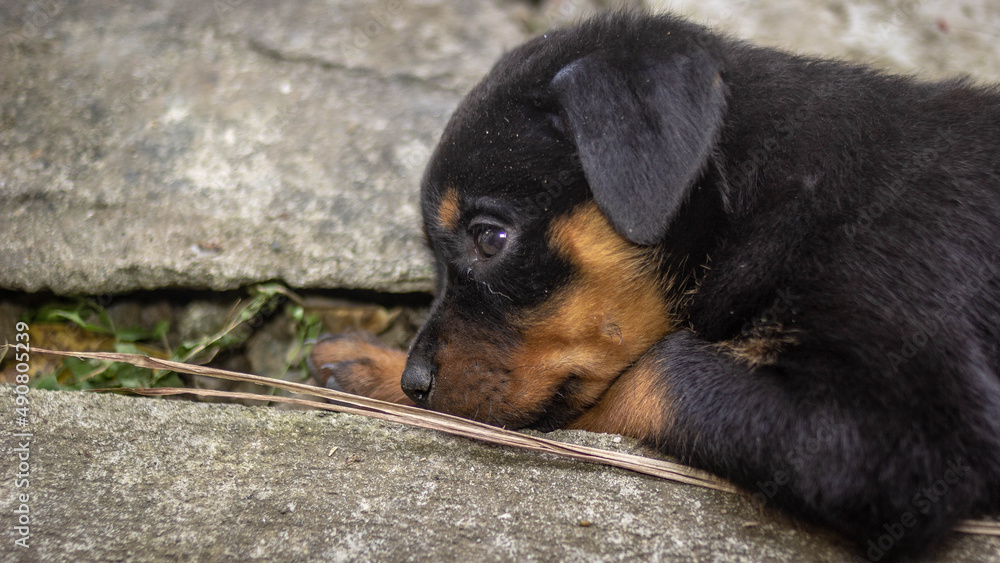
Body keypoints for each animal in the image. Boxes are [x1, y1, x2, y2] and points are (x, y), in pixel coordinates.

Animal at [308, 11, 996, 556]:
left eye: (490, 238)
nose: (413, 381)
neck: (775, 199)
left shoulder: (902, 438)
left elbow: (648, 378)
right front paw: (368, 366)